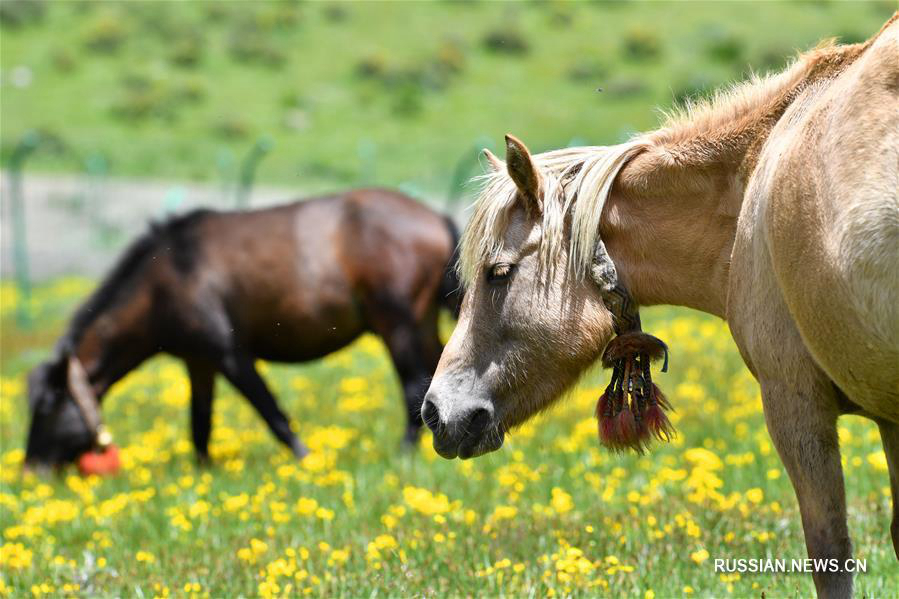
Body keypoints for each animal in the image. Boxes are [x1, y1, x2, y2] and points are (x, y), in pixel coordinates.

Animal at [24, 190, 460, 472]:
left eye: (46, 406)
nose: (30, 469)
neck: (166, 279)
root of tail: (436, 218)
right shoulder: (198, 362)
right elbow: (200, 424)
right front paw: (202, 472)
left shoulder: (230, 355)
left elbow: (272, 414)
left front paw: (306, 460)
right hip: (420, 325)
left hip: (398, 325)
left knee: (413, 386)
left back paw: (404, 455)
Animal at [424, 15, 899, 599]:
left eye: (498, 272)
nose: (435, 411)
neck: (752, 177)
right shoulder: (890, 417)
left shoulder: (795, 402)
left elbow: (830, 552)